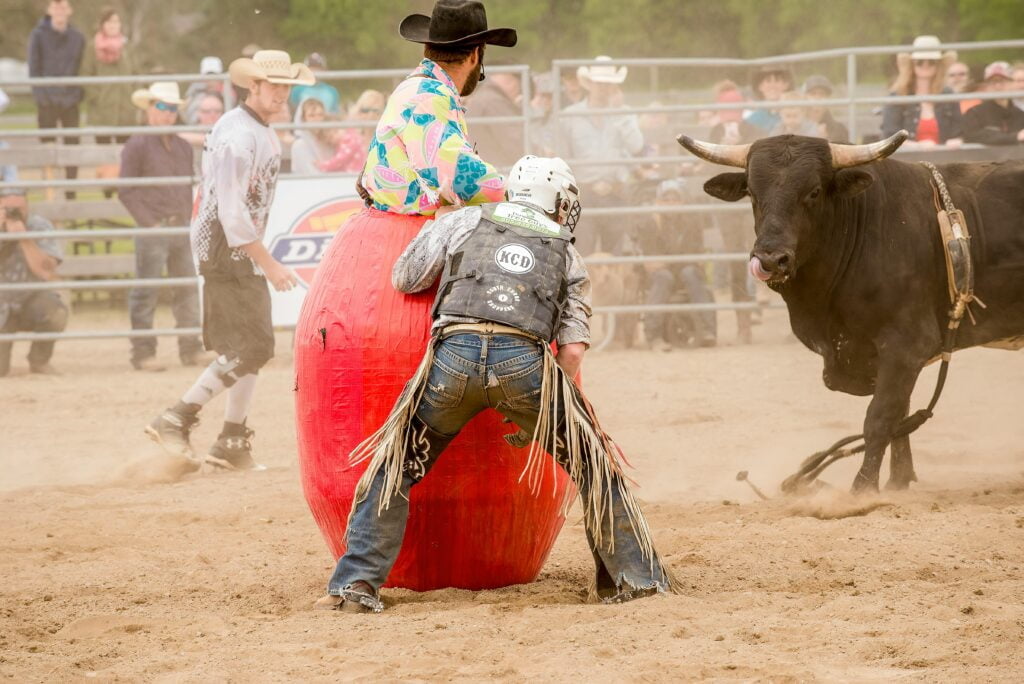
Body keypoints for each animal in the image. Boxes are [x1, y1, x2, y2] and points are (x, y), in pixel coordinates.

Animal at [679, 129, 1024, 491]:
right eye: (752, 193)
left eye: (814, 191)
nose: (771, 259)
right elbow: (900, 413)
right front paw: (898, 481)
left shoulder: (906, 344)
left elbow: (881, 416)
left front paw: (864, 488)